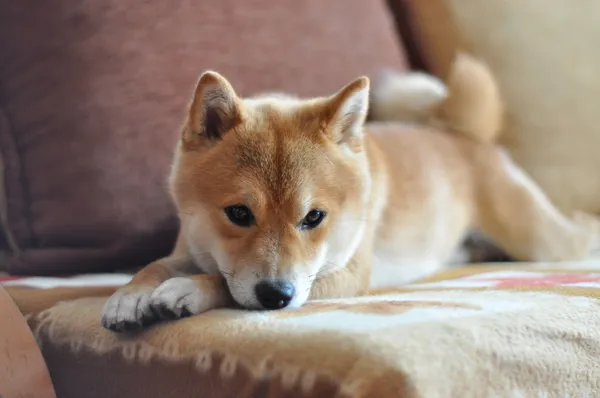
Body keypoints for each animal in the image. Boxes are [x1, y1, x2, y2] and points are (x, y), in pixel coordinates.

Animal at [101, 52, 596, 332]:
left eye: (313, 217)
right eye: (239, 214)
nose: (276, 297)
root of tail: (464, 135)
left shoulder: (344, 275)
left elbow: (221, 282)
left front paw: (188, 290)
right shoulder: (189, 249)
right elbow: (153, 266)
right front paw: (129, 295)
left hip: (539, 240)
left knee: (577, 231)